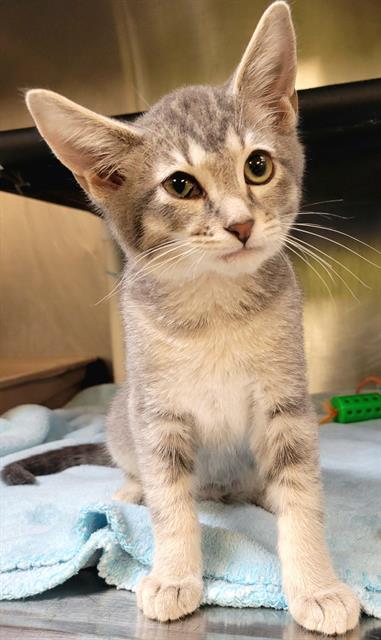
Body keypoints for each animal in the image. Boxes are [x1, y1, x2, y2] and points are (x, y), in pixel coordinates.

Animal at [8, 1, 360, 636]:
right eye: (181, 185)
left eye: (258, 166)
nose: (241, 224)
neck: (213, 310)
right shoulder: (159, 415)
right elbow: (172, 506)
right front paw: (174, 574)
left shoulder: (287, 404)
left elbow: (303, 495)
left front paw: (316, 586)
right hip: (126, 411)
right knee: (142, 471)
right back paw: (131, 490)